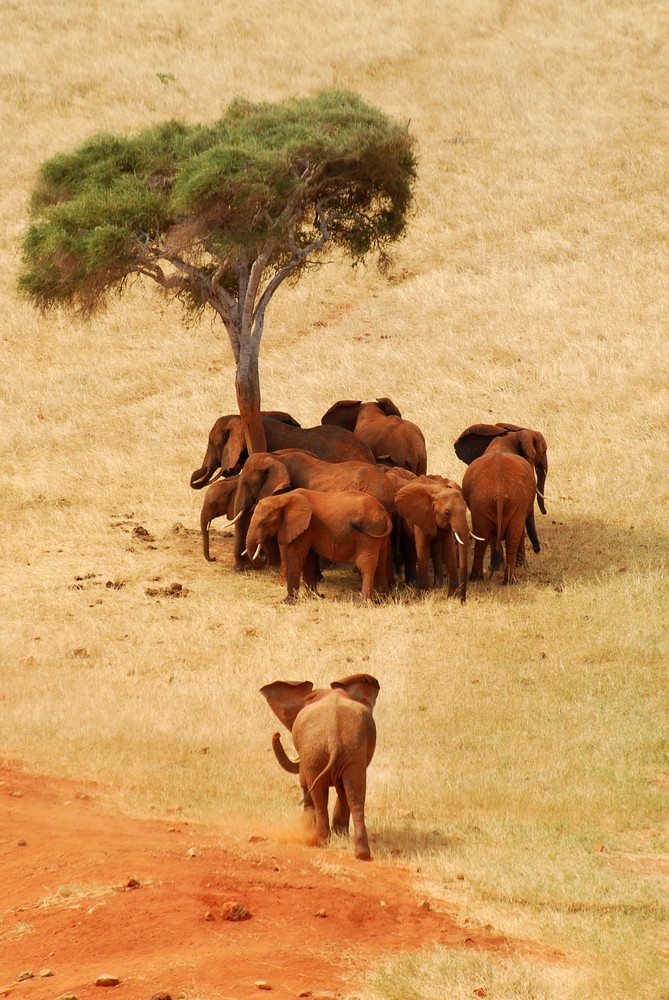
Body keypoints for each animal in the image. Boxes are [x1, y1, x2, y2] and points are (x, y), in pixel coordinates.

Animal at [244, 490, 392, 604]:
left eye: (264, 523)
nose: (263, 554)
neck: (283, 498)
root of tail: (383, 512)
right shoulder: (306, 530)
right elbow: (308, 560)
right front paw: (313, 597)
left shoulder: (304, 528)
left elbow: (296, 557)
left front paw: (287, 602)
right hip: (379, 532)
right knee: (382, 562)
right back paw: (381, 600)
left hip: (368, 532)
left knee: (365, 564)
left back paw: (361, 603)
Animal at [258, 672, 378, 860]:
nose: (277, 734)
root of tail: (333, 735)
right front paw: (339, 835)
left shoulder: (306, 755)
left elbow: (305, 783)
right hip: (351, 751)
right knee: (355, 793)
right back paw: (361, 854)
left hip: (315, 751)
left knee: (320, 794)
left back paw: (320, 841)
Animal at [462, 450, 540, 584]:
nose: (537, 550)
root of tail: (500, 493)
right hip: (488, 501)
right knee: (499, 536)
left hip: (486, 501)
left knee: (486, 536)